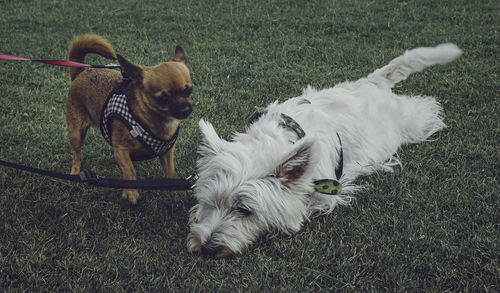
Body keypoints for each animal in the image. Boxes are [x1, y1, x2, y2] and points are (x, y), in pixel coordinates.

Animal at [65, 33, 192, 203]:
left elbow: (171, 172)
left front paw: (178, 190)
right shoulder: (121, 149)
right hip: (76, 133)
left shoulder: (167, 152)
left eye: (189, 90)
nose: (185, 109)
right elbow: (129, 171)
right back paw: (75, 172)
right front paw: (131, 192)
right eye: (163, 97)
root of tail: (81, 72)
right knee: (77, 154)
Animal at [188, 42, 460, 256]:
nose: (207, 248)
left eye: (245, 210)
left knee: (426, 106)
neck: (284, 136)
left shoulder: (327, 193)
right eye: (209, 202)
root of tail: (372, 82)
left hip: (410, 123)